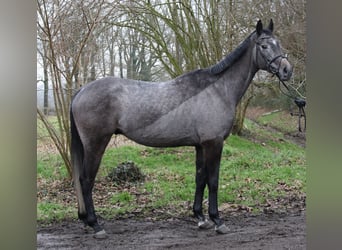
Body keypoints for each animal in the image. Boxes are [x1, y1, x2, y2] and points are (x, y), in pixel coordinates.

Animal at [69, 19, 292, 236]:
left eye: (280, 43)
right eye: (264, 46)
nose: (287, 70)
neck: (217, 90)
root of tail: (81, 91)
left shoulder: (201, 145)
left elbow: (200, 179)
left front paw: (201, 218)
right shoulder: (214, 143)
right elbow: (213, 181)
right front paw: (217, 220)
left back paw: (87, 221)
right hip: (95, 144)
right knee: (86, 180)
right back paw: (95, 225)